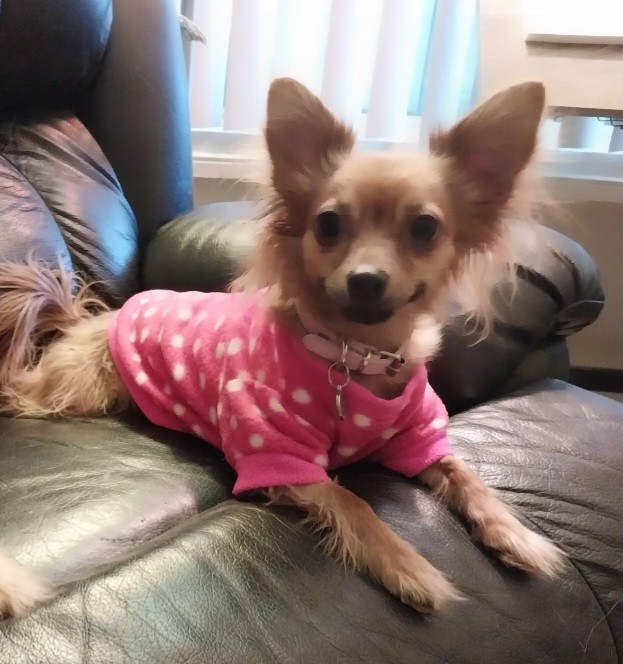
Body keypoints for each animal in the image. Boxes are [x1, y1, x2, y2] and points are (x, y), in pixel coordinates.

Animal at [0, 78, 565, 617]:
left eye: (425, 228)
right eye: (328, 224)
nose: (365, 279)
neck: (355, 355)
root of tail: (93, 319)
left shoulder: (419, 438)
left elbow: (467, 475)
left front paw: (518, 534)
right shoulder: (281, 458)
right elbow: (354, 503)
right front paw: (410, 567)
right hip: (76, 390)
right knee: (19, 389)